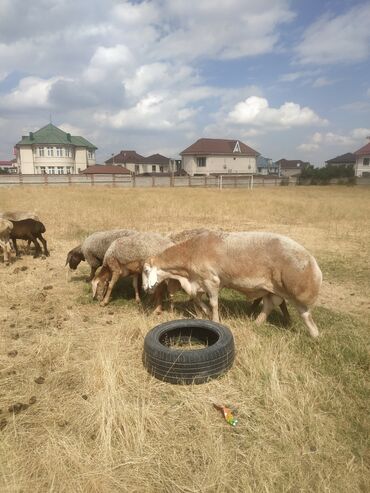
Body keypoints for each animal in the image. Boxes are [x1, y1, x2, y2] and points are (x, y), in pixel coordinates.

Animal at [143, 229, 322, 336]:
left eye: (145, 270)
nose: (145, 288)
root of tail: (312, 261)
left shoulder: (212, 280)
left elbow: (214, 303)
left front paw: (215, 319)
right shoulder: (198, 282)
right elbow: (196, 299)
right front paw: (204, 313)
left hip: (297, 292)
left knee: (304, 314)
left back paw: (314, 335)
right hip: (272, 289)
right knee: (270, 304)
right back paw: (257, 323)